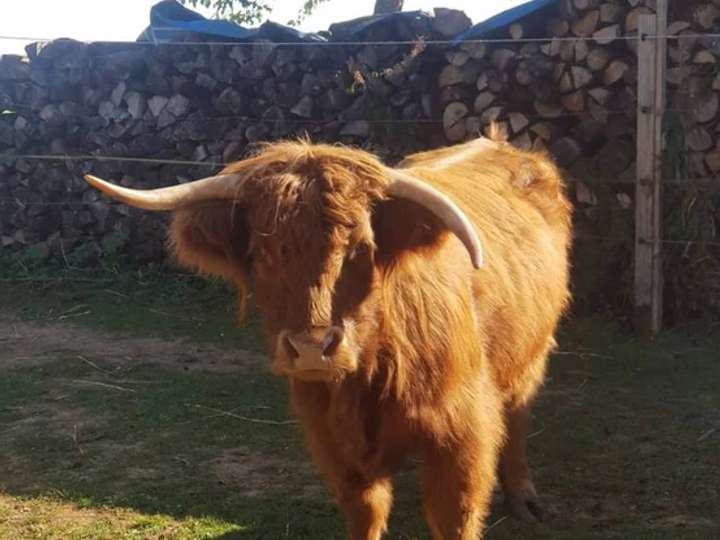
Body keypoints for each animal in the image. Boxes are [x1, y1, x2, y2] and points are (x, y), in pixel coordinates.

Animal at [84, 132, 572, 539]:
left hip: (531, 354)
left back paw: (524, 497)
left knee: (519, 413)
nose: (312, 350)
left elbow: (455, 517)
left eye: (360, 247)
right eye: (262, 253)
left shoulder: (461, 437)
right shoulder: (335, 445)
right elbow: (367, 516)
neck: (370, 376)